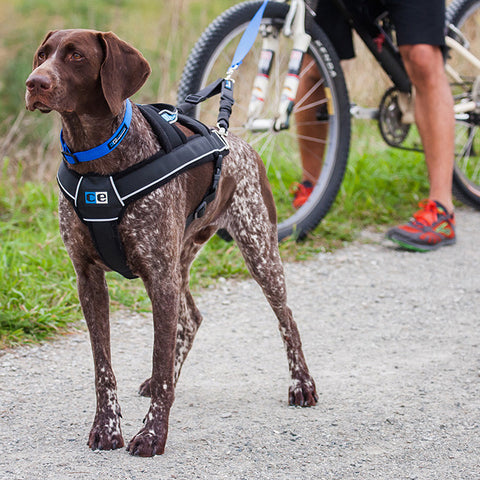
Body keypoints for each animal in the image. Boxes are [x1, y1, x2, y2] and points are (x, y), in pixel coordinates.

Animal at [26, 30, 318, 458]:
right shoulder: (89, 278)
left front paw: (152, 434)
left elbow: (160, 359)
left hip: (258, 250)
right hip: (181, 260)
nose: (34, 83)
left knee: (288, 318)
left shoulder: (158, 278)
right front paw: (107, 427)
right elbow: (103, 367)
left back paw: (302, 384)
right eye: (42, 55)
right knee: (191, 319)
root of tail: (237, 140)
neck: (97, 160)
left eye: (76, 56)